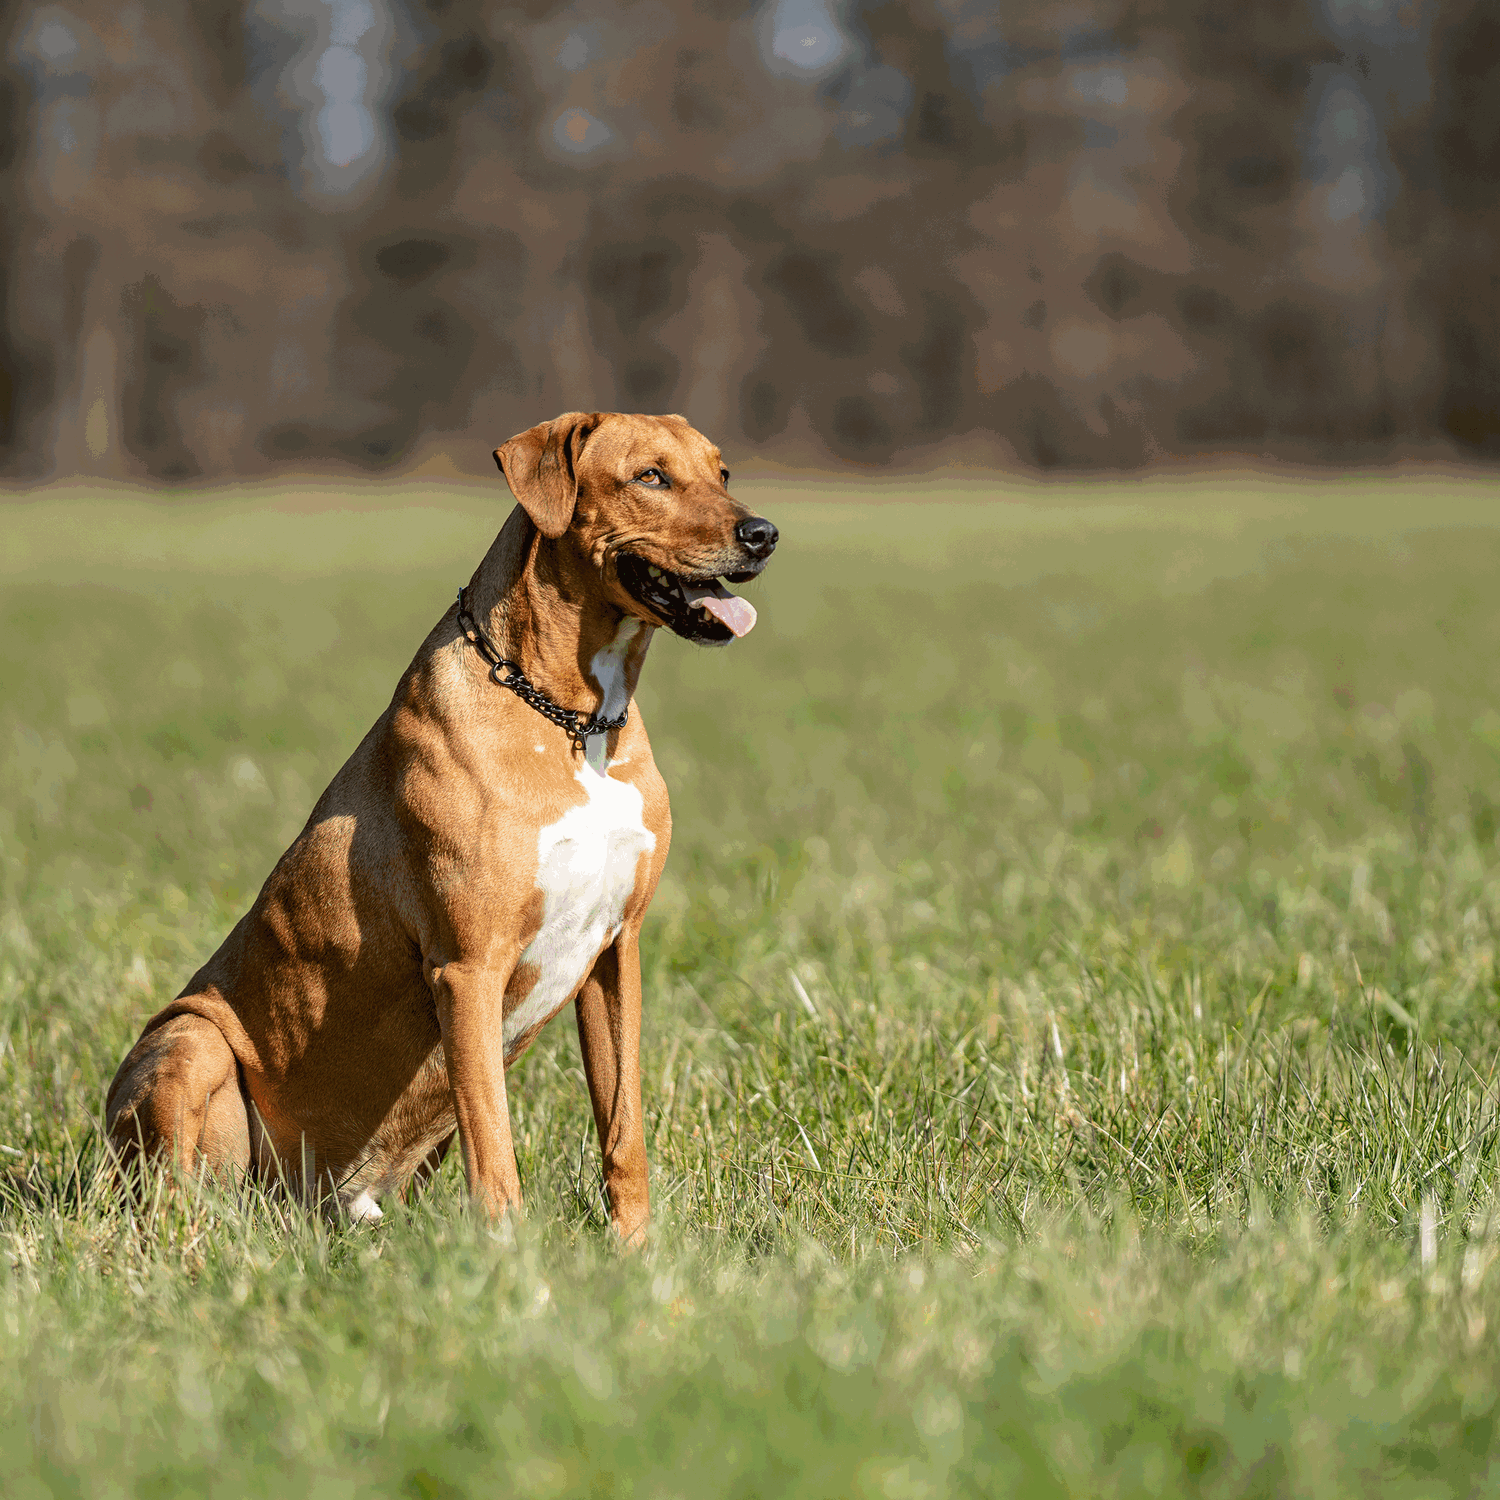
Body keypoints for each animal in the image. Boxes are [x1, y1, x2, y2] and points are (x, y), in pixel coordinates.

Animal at [105, 411, 780, 1242]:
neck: (574, 722)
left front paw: (636, 1254)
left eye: (722, 472)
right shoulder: (469, 967)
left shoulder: (616, 951)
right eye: (649, 476)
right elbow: (494, 1151)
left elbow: (624, 1132)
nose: (762, 533)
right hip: (190, 1045)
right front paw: (513, 1262)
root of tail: (303, 1209)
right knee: (170, 1209)